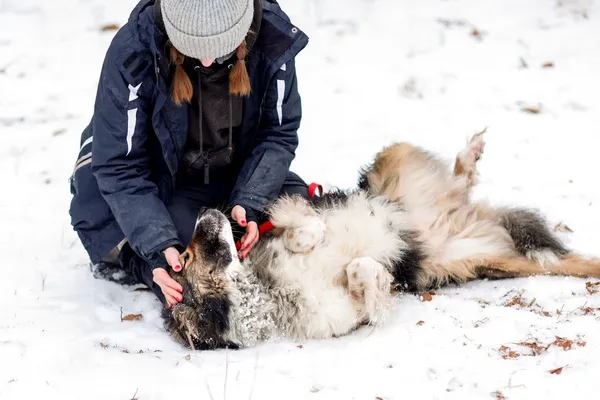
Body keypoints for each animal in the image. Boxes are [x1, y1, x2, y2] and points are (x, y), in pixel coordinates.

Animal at [163, 132, 600, 350]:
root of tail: (457, 211)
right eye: (186, 256)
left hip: (392, 161)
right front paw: (378, 282)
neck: (269, 291)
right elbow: (363, 273)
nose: (205, 212)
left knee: (459, 177)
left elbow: (304, 227)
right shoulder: (342, 314)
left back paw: (470, 154)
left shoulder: (287, 211)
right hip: (497, 260)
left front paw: (318, 236)